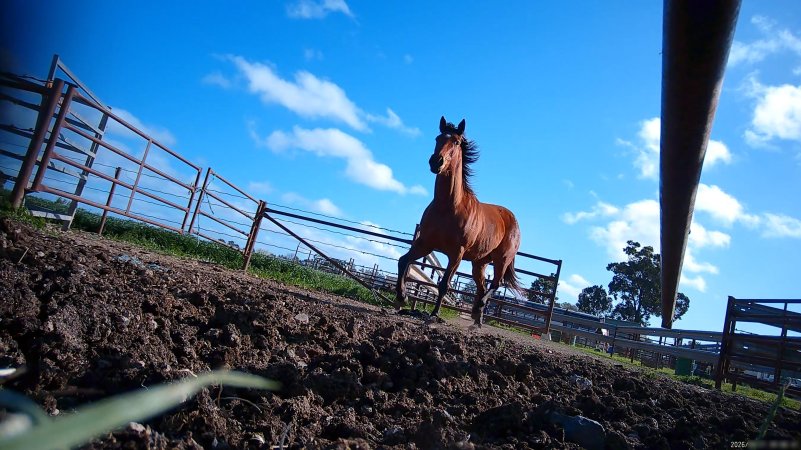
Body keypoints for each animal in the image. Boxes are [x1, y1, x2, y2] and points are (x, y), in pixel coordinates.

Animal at [395, 116, 523, 326]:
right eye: (437, 138)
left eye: (455, 142)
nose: (435, 162)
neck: (447, 206)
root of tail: (513, 220)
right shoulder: (425, 244)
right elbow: (403, 261)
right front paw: (401, 297)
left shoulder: (457, 253)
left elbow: (444, 284)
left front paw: (434, 315)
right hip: (479, 263)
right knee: (481, 287)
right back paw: (477, 319)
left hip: (501, 260)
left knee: (495, 284)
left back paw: (478, 310)